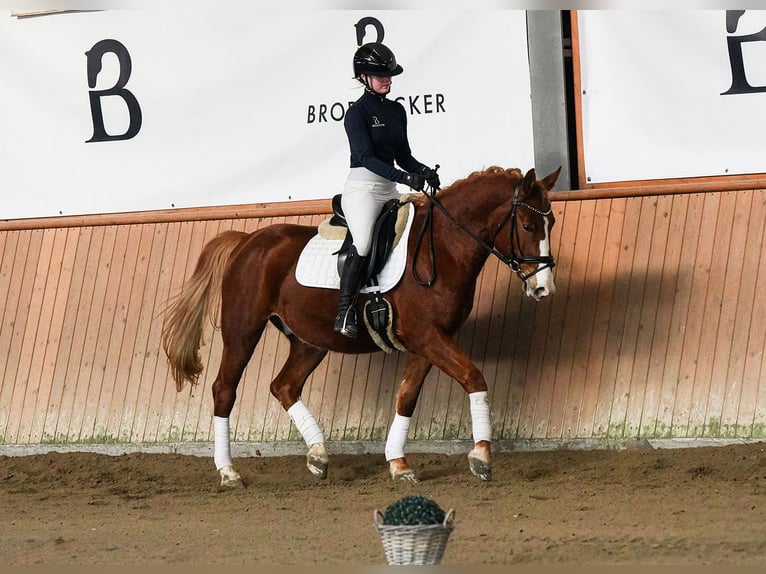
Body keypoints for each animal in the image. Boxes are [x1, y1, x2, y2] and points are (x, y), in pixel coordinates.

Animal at [161, 165, 561, 487]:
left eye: (552, 224)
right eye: (527, 225)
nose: (544, 288)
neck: (442, 248)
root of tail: (248, 241)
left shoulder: (429, 341)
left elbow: (406, 396)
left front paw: (399, 465)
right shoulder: (428, 337)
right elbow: (474, 378)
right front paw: (481, 458)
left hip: (311, 340)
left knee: (284, 386)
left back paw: (318, 455)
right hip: (243, 331)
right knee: (224, 390)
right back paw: (229, 472)